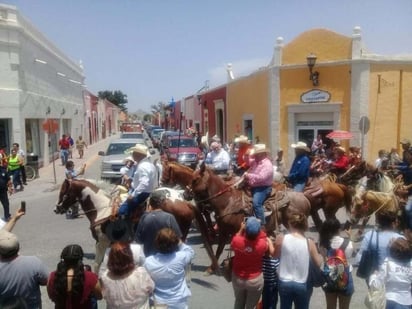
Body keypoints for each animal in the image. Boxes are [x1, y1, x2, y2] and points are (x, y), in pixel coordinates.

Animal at [56, 178, 196, 270]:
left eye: (64, 193)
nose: (57, 209)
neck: (102, 209)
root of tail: (184, 201)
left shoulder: (101, 242)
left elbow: (96, 264)